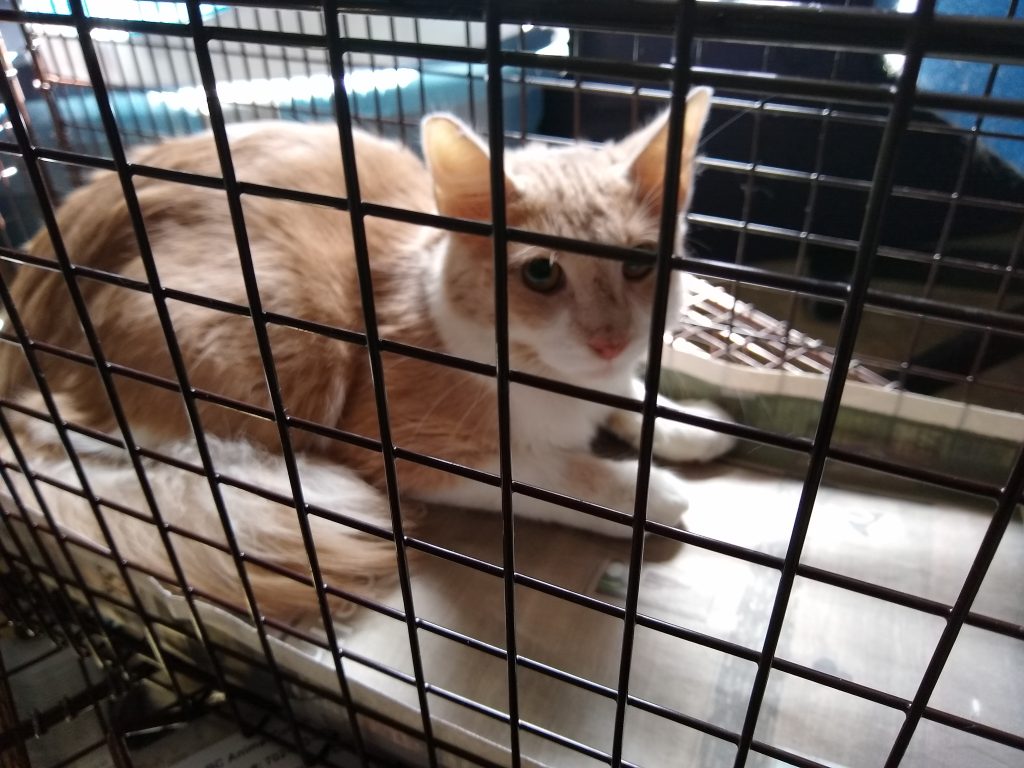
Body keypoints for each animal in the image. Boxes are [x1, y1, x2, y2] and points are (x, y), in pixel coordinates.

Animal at [0, 87, 737, 622]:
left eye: (639, 264)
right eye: (540, 274)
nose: (609, 337)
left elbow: (631, 398)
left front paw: (688, 426)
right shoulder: (408, 443)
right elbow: (541, 474)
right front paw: (644, 493)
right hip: (289, 330)